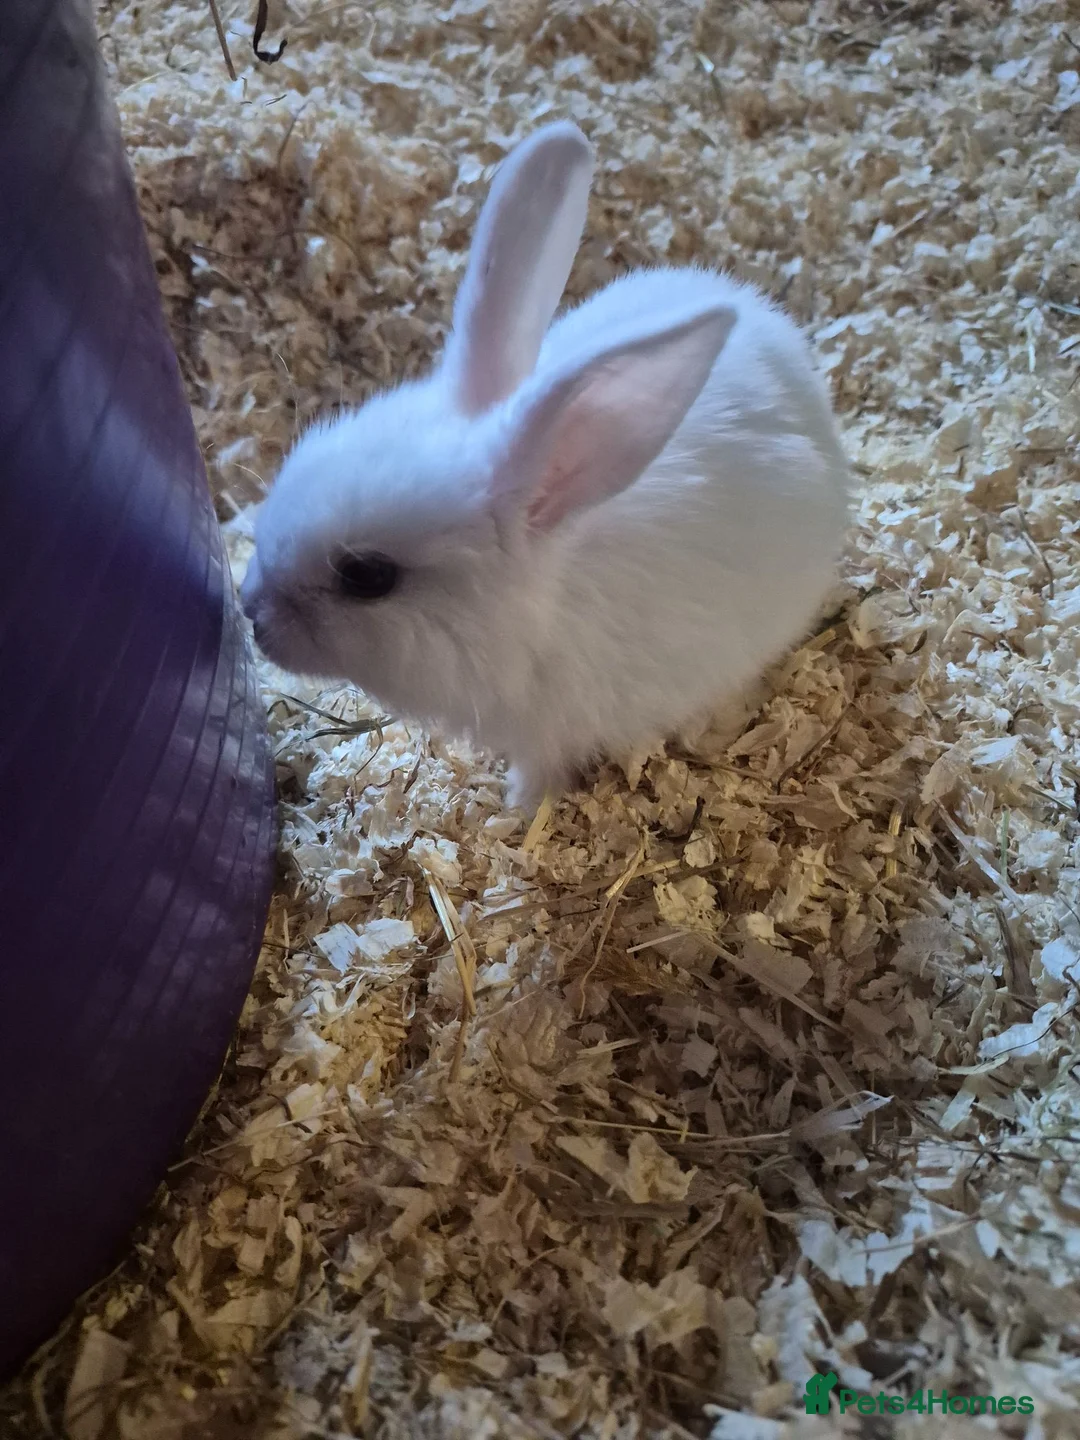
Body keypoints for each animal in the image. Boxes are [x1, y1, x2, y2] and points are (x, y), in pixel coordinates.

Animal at [240, 121, 851, 811]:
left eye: (367, 576)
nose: (250, 611)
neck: (536, 614)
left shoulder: (551, 732)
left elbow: (540, 773)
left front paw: (515, 811)